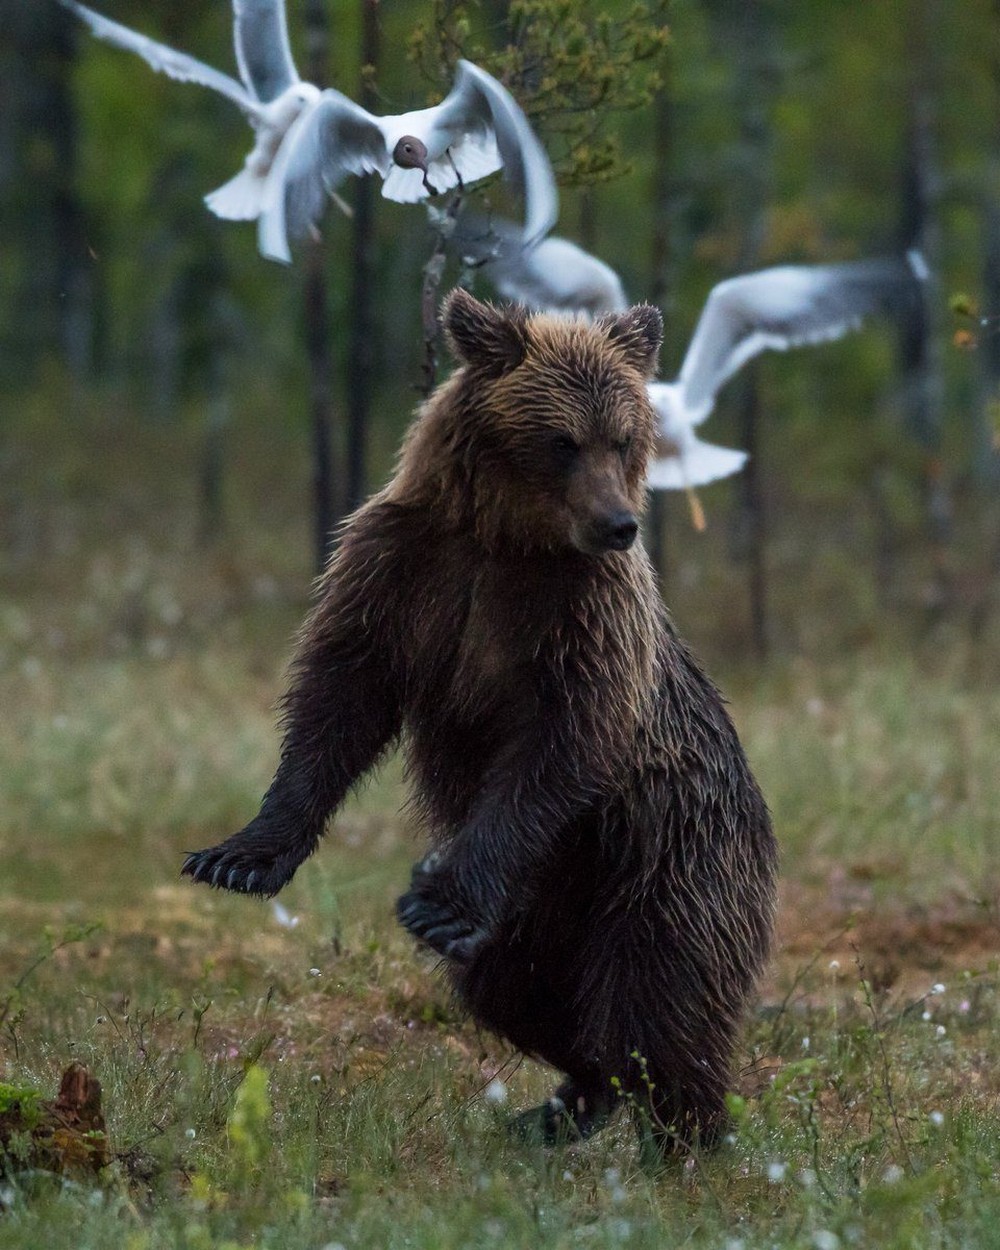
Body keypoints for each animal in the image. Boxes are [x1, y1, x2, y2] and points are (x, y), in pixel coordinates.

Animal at [181, 290, 780, 1160]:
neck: (506, 536)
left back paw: (688, 1139)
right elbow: (339, 698)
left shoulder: (580, 615)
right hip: (546, 908)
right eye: (563, 440)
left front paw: (437, 902)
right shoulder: (401, 572)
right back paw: (566, 1101)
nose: (620, 524)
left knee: (662, 1003)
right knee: (512, 987)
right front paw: (242, 856)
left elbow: (562, 742)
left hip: (668, 863)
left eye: (624, 436)